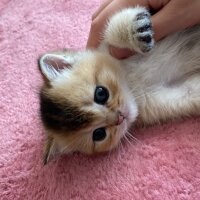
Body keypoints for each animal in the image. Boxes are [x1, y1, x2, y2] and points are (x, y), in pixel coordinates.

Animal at [38, 7, 200, 164]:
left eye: (101, 93)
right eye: (99, 134)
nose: (120, 117)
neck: (131, 82)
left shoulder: (109, 49)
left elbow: (110, 30)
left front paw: (133, 30)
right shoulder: (161, 99)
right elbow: (191, 92)